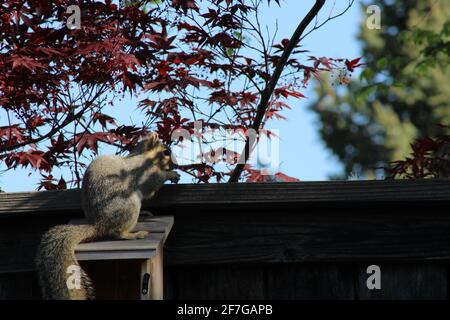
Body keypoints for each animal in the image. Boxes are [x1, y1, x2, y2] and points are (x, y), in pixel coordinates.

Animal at [34, 132, 179, 300]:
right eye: (166, 152)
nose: (176, 166)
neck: (144, 157)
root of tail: (99, 224)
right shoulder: (145, 173)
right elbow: (153, 184)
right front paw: (171, 174)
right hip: (129, 205)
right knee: (117, 232)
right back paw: (133, 235)